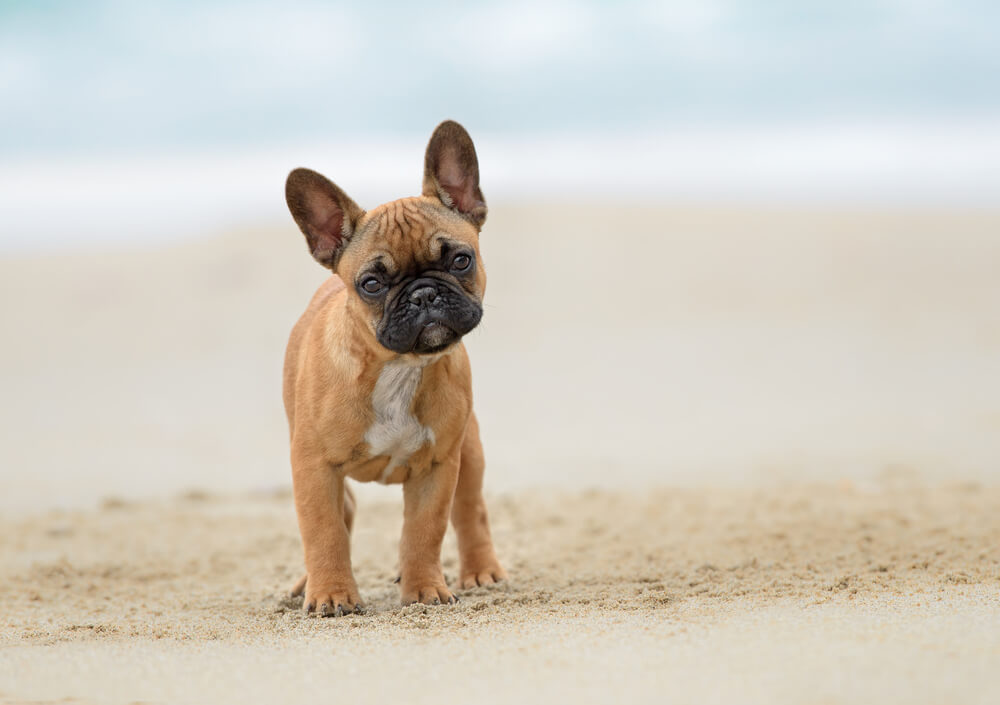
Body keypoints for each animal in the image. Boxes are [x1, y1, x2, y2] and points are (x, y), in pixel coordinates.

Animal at [282, 118, 508, 612]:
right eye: (371, 283)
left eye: (461, 259)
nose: (424, 294)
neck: (398, 368)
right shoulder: (314, 468)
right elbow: (324, 531)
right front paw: (331, 593)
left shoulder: (438, 467)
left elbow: (424, 531)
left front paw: (424, 588)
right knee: (342, 514)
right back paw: (306, 583)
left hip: (469, 452)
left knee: (470, 512)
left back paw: (480, 571)